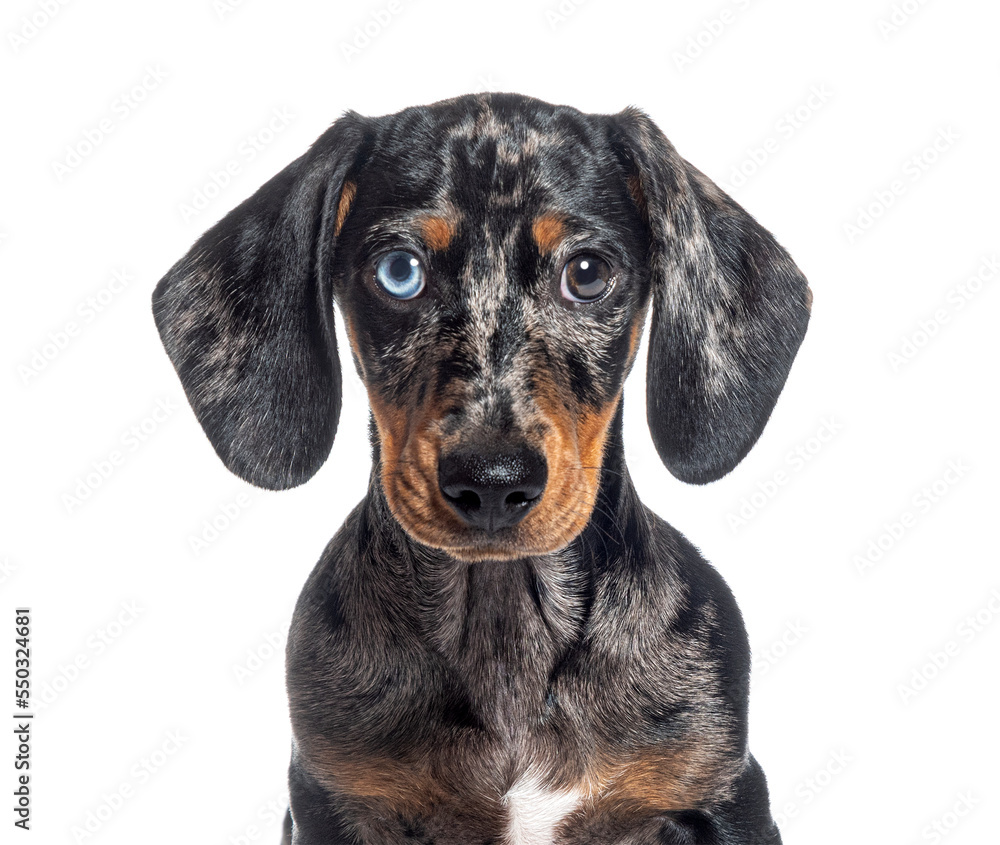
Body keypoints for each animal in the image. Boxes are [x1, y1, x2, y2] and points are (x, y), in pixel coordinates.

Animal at [152, 94, 808, 844]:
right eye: (400, 271)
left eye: (587, 273)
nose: (493, 481)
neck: (504, 623)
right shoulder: (332, 800)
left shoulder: (721, 794)